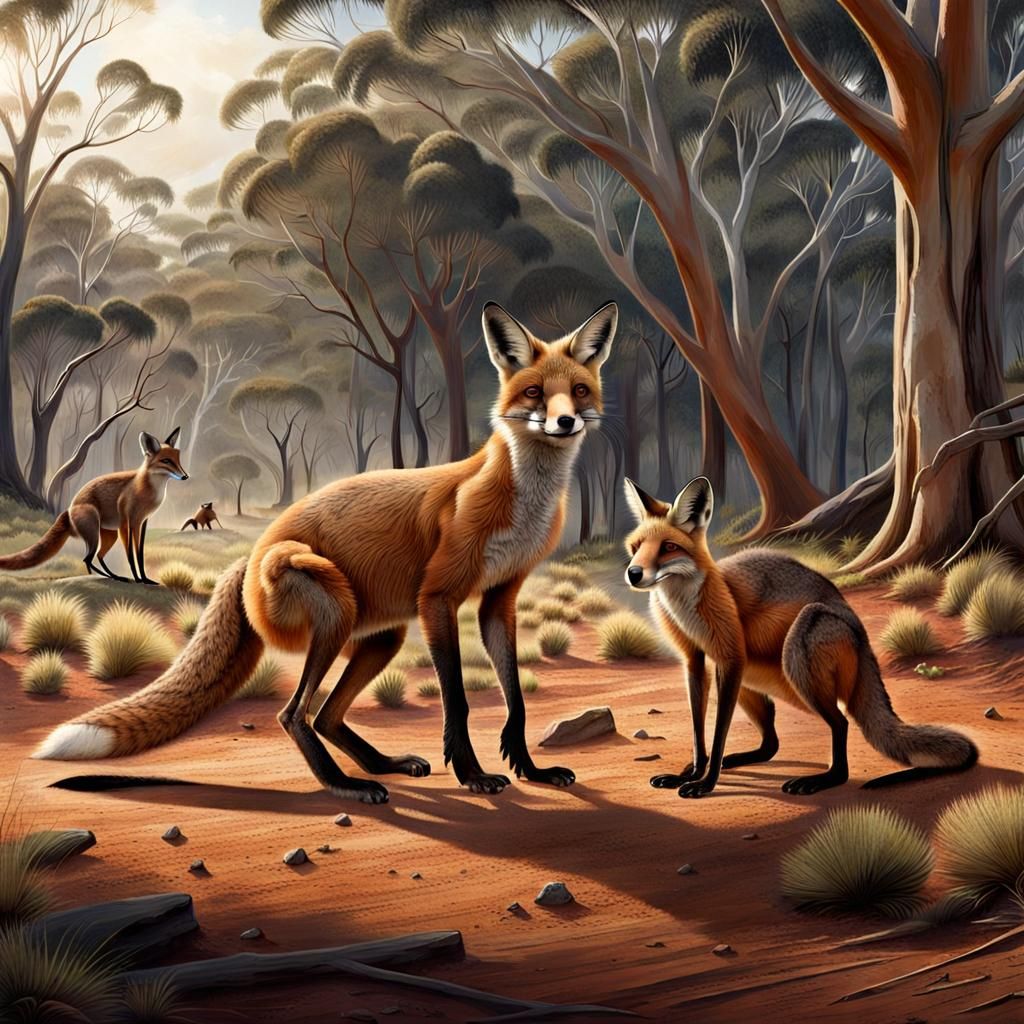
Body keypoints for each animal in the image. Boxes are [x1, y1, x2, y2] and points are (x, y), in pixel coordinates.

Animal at [0, 428, 188, 584]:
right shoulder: (127, 523)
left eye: (178, 460)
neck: (146, 489)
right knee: (87, 558)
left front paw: (145, 579)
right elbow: (130, 556)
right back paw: (108, 577)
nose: (185, 476)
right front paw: (137, 579)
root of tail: (69, 509)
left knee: (97, 555)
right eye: (166, 461)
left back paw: (113, 576)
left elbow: (140, 555)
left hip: (109, 535)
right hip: (95, 533)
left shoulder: (141, 523)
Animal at [34, 302, 618, 803]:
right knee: (295, 715)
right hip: (333, 605)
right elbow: (458, 700)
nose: (565, 422)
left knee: (326, 716)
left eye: (579, 392)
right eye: (535, 393)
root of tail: (252, 554)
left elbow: (515, 699)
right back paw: (345, 785)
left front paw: (531, 769)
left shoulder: (499, 598)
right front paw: (473, 774)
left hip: (382, 636)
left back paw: (380, 766)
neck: (520, 502)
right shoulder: (439, 599)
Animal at [623, 475, 978, 798]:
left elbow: (719, 732)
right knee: (771, 744)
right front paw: (695, 772)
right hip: (752, 678)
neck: (685, 605)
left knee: (841, 724)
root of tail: (860, 633)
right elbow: (699, 732)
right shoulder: (695, 661)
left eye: (668, 547)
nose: (633, 574)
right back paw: (734, 762)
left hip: (798, 649)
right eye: (636, 548)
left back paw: (824, 779)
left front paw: (706, 783)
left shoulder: (730, 656)